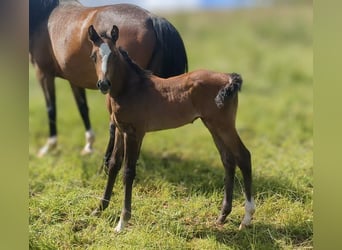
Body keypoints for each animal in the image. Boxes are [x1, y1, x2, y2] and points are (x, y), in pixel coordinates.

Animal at [29, 0, 188, 156]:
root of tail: (152, 18)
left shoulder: (43, 73)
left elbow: (51, 108)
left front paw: (49, 147)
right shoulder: (74, 78)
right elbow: (82, 108)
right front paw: (88, 146)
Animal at [88, 25, 254, 232]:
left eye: (115, 56)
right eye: (93, 56)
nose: (103, 84)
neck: (130, 88)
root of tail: (229, 78)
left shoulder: (135, 133)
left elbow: (128, 171)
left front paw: (122, 222)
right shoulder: (120, 130)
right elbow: (113, 165)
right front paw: (99, 209)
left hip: (224, 125)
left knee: (243, 156)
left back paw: (246, 218)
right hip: (213, 125)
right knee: (228, 160)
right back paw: (222, 216)